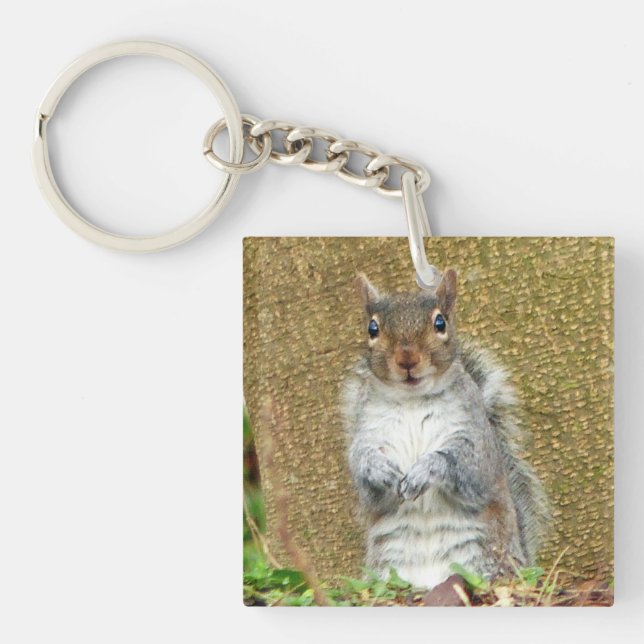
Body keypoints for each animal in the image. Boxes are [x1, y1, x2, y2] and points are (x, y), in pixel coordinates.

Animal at [341, 269, 550, 589]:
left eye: (440, 323)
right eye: (372, 328)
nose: (407, 359)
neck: (413, 400)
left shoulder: (476, 436)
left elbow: (469, 467)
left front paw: (426, 469)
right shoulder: (368, 432)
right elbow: (362, 472)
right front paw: (379, 469)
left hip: (486, 558)